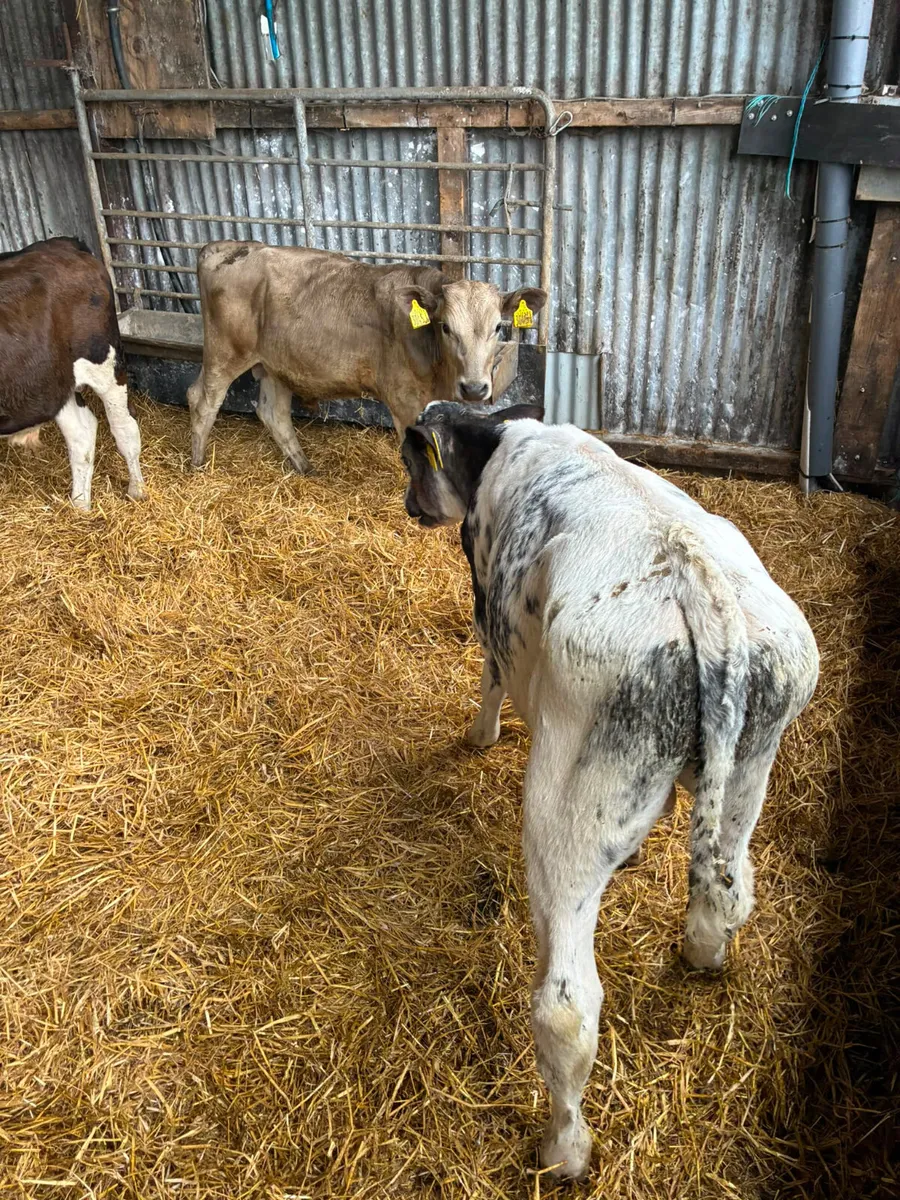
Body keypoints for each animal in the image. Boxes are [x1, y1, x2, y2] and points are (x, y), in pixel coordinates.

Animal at [0, 237, 145, 511]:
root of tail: (62, 244)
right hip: (54, 382)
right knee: (82, 435)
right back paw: (80, 507)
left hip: (105, 365)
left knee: (124, 428)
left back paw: (137, 490)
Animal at [186, 241, 547, 474]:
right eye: (445, 326)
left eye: (498, 327)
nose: (474, 388)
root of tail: (219, 247)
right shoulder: (403, 400)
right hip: (225, 351)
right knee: (201, 399)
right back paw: (197, 465)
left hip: (276, 364)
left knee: (273, 413)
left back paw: (305, 468)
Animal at [400, 403, 819, 1180]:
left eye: (412, 461)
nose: (410, 504)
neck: (500, 444)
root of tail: (698, 580)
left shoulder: (487, 598)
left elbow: (490, 673)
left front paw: (478, 737)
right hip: (751, 770)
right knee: (729, 890)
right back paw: (703, 954)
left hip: (565, 810)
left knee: (567, 1005)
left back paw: (563, 1151)